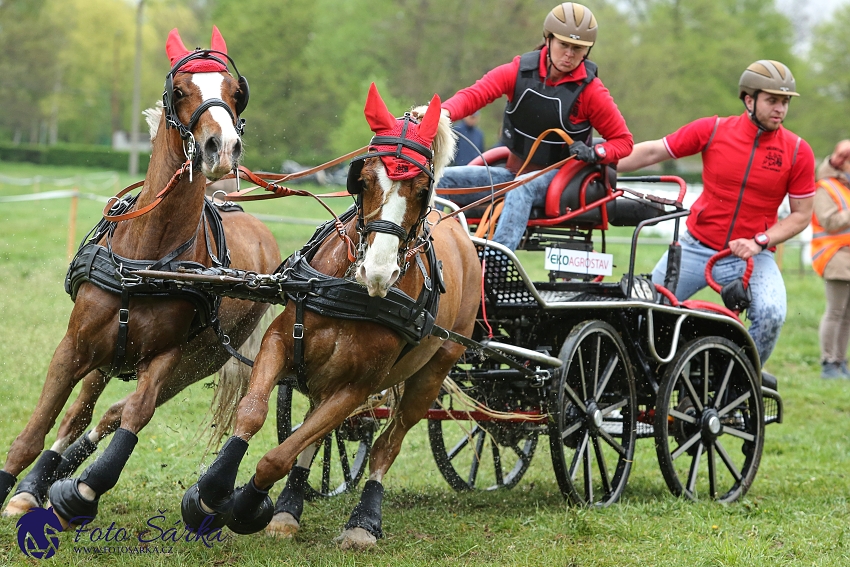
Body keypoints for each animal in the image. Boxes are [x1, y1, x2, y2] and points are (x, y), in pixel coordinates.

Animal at [0, 25, 280, 524]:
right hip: (106, 353)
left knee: (114, 411)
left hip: (194, 363)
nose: (222, 148)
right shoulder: (72, 347)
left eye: (235, 92)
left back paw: (61, 480)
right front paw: (23, 483)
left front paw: (85, 489)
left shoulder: (166, 357)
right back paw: (37, 484)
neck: (149, 256)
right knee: (79, 413)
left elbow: (135, 416)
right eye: (180, 91)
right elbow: (39, 425)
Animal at [181, 84, 480, 552]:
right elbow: (253, 414)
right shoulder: (280, 344)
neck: (351, 293)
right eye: (365, 178)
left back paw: (363, 520)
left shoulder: (356, 389)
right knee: (314, 432)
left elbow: (278, 455)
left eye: (421, 190)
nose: (378, 272)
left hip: (431, 374)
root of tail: (460, 232)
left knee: (387, 445)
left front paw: (245, 505)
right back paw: (289, 508)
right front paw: (212, 492)